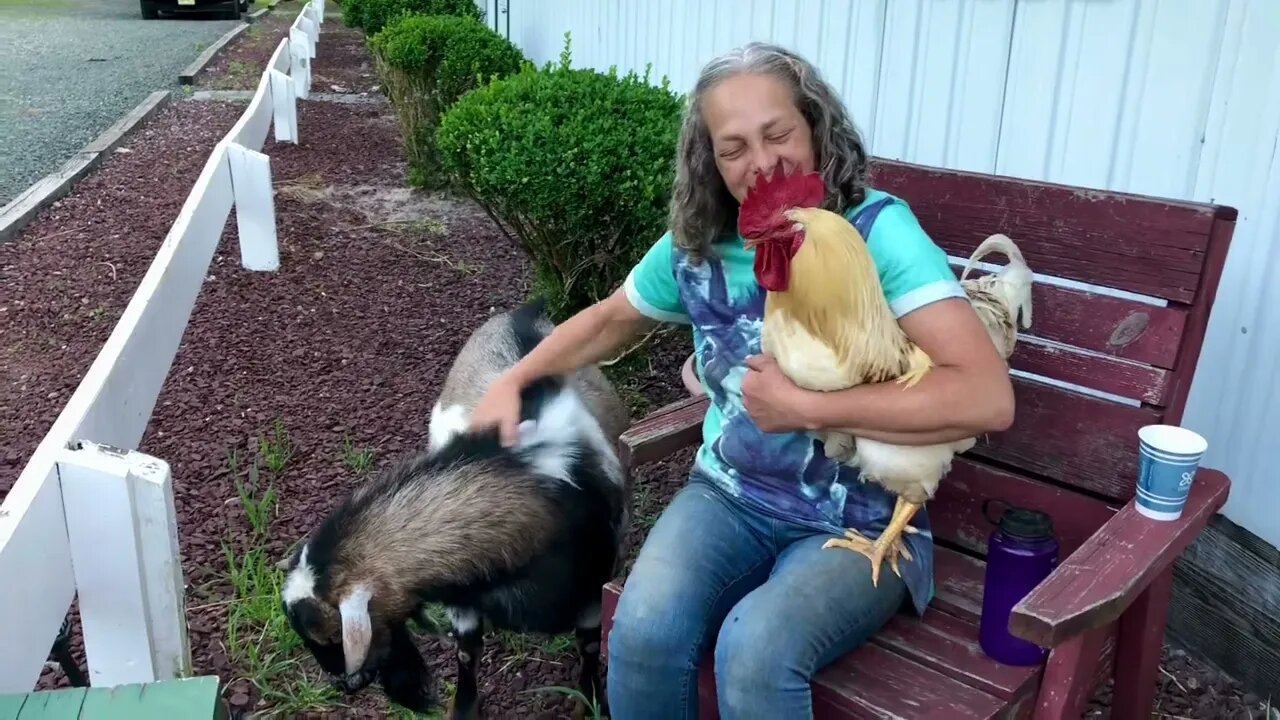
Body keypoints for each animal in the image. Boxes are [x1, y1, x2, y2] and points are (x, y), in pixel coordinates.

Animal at [285, 294, 634, 712]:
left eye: (331, 637)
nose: (344, 685)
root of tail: (520, 314)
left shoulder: (592, 592)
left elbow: (590, 646)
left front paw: (592, 700)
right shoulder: (464, 600)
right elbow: (466, 654)